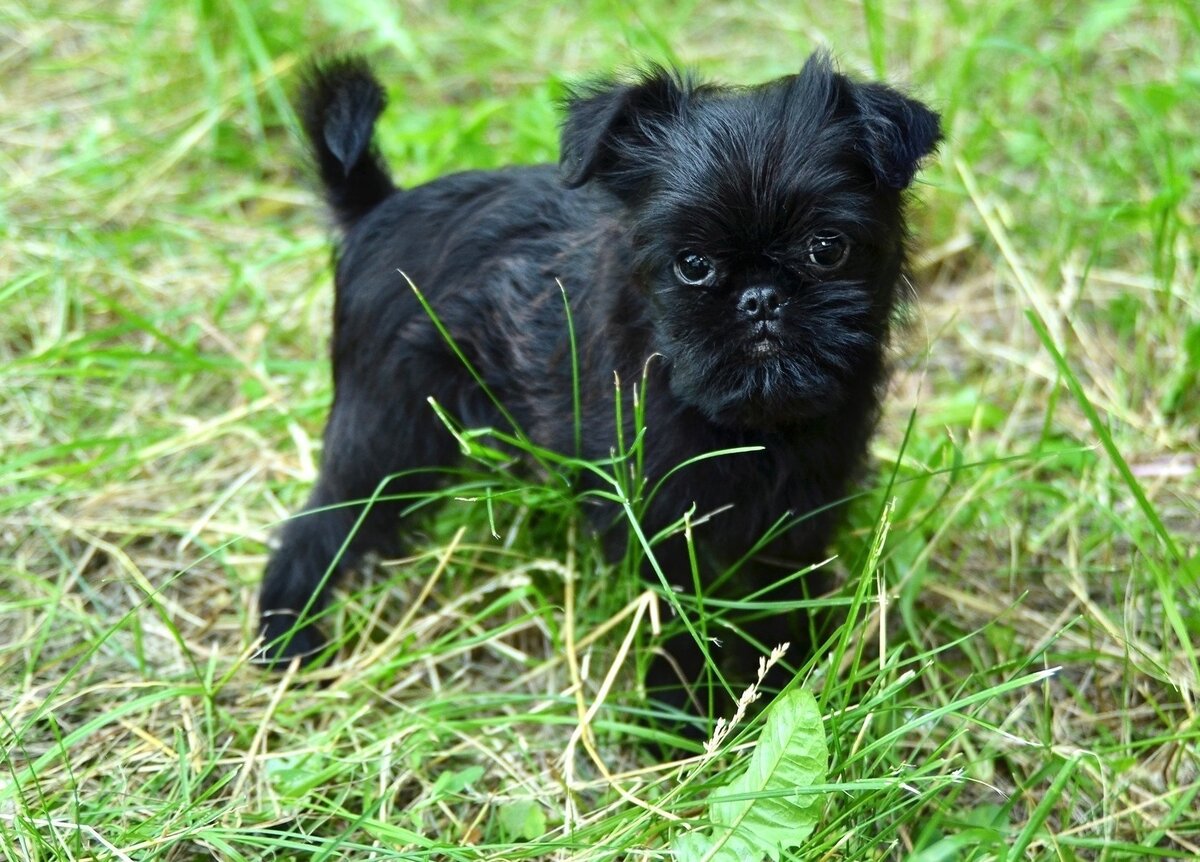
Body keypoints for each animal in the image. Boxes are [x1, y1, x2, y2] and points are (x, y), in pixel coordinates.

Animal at [258, 52, 940, 701]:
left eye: (828, 249)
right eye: (692, 265)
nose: (761, 298)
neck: (753, 423)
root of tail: (379, 206)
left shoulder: (802, 510)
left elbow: (781, 600)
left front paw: (788, 680)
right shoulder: (658, 523)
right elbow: (679, 621)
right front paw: (681, 710)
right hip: (385, 433)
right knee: (317, 529)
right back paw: (287, 638)